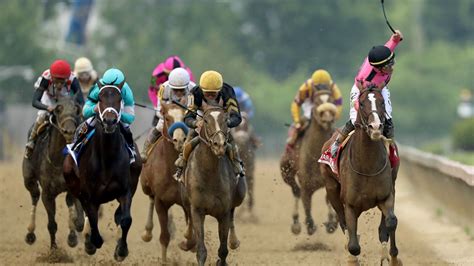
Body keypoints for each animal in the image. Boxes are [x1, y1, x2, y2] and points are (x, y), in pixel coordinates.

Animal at [22, 97, 83, 249]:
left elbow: (75, 214)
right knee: (34, 196)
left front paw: (73, 235)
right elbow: (52, 224)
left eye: (76, 109)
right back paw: (30, 234)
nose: (69, 131)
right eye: (58, 109)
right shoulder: (47, 193)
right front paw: (54, 250)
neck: (59, 161)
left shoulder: (73, 186)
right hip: (28, 179)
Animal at [140, 101, 195, 262]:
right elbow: (164, 237)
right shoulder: (161, 201)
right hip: (145, 185)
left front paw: (188, 243)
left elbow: (192, 236)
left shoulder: (190, 201)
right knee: (150, 197)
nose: (180, 140)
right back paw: (147, 232)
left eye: (184, 117)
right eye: (167, 118)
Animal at [280, 90, 338, 236]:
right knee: (296, 191)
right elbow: (306, 204)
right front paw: (310, 225)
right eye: (317, 102)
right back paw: (296, 223)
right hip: (285, 172)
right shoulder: (306, 185)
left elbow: (329, 200)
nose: (328, 120)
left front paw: (332, 222)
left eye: (331, 100)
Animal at [320, 87, 402, 264]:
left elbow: (390, 222)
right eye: (362, 103)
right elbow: (353, 246)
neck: (367, 165)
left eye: (382, 102)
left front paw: (392, 258)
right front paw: (352, 258)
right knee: (343, 223)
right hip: (332, 190)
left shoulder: (386, 196)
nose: (376, 127)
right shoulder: (350, 205)